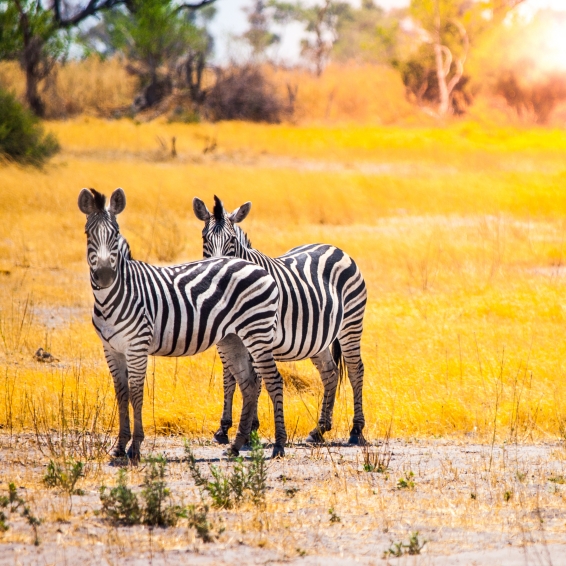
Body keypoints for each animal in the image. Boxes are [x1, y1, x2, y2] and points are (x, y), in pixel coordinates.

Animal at [77, 187, 288, 462]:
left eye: (114, 235)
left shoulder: (137, 347)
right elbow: (122, 395)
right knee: (250, 384)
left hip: (257, 332)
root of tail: (257, 266)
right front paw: (119, 447)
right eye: (88, 234)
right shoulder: (111, 349)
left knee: (273, 380)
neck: (114, 295)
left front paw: (135, 448)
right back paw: (235, 446)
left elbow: (136, 394)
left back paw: (279, 445)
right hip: (233, 339)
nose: (104, 276)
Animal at [191, 197, 368, 446]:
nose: (217, 268)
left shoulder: (257, 335)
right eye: (204, 238)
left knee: (355, 370)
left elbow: (254, 381)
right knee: (330, 373)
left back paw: (356, 429)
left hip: (351, 324)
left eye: (232, 240)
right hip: (317, 338)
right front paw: (224, 429)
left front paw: (250, 429)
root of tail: (332, 247)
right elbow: (230, 378)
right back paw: (319, 430)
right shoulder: (228, 339)